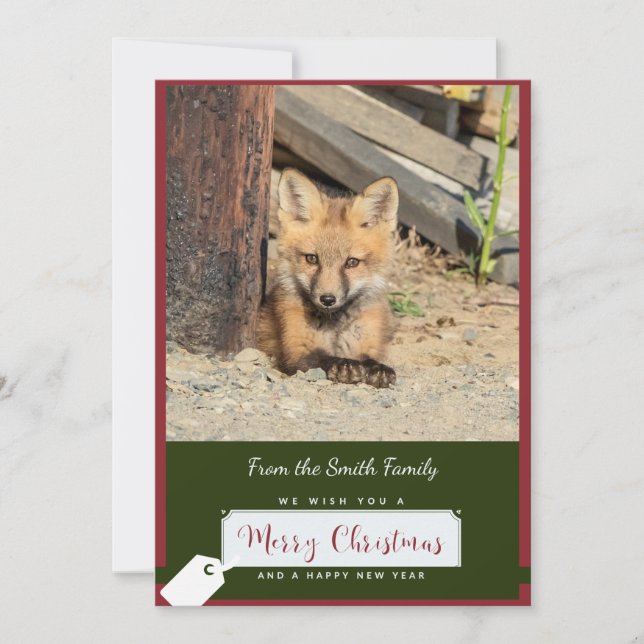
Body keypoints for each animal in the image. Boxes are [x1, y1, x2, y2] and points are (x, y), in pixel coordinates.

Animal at [257, 168, 398, 388]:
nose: (327, 299)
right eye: (312, 259)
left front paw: (378, 368)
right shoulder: (297, 351)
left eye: (352, 262)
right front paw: (343, 366)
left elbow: (370, 360)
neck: (335, 326)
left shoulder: (366, 342)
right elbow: (325, 358)